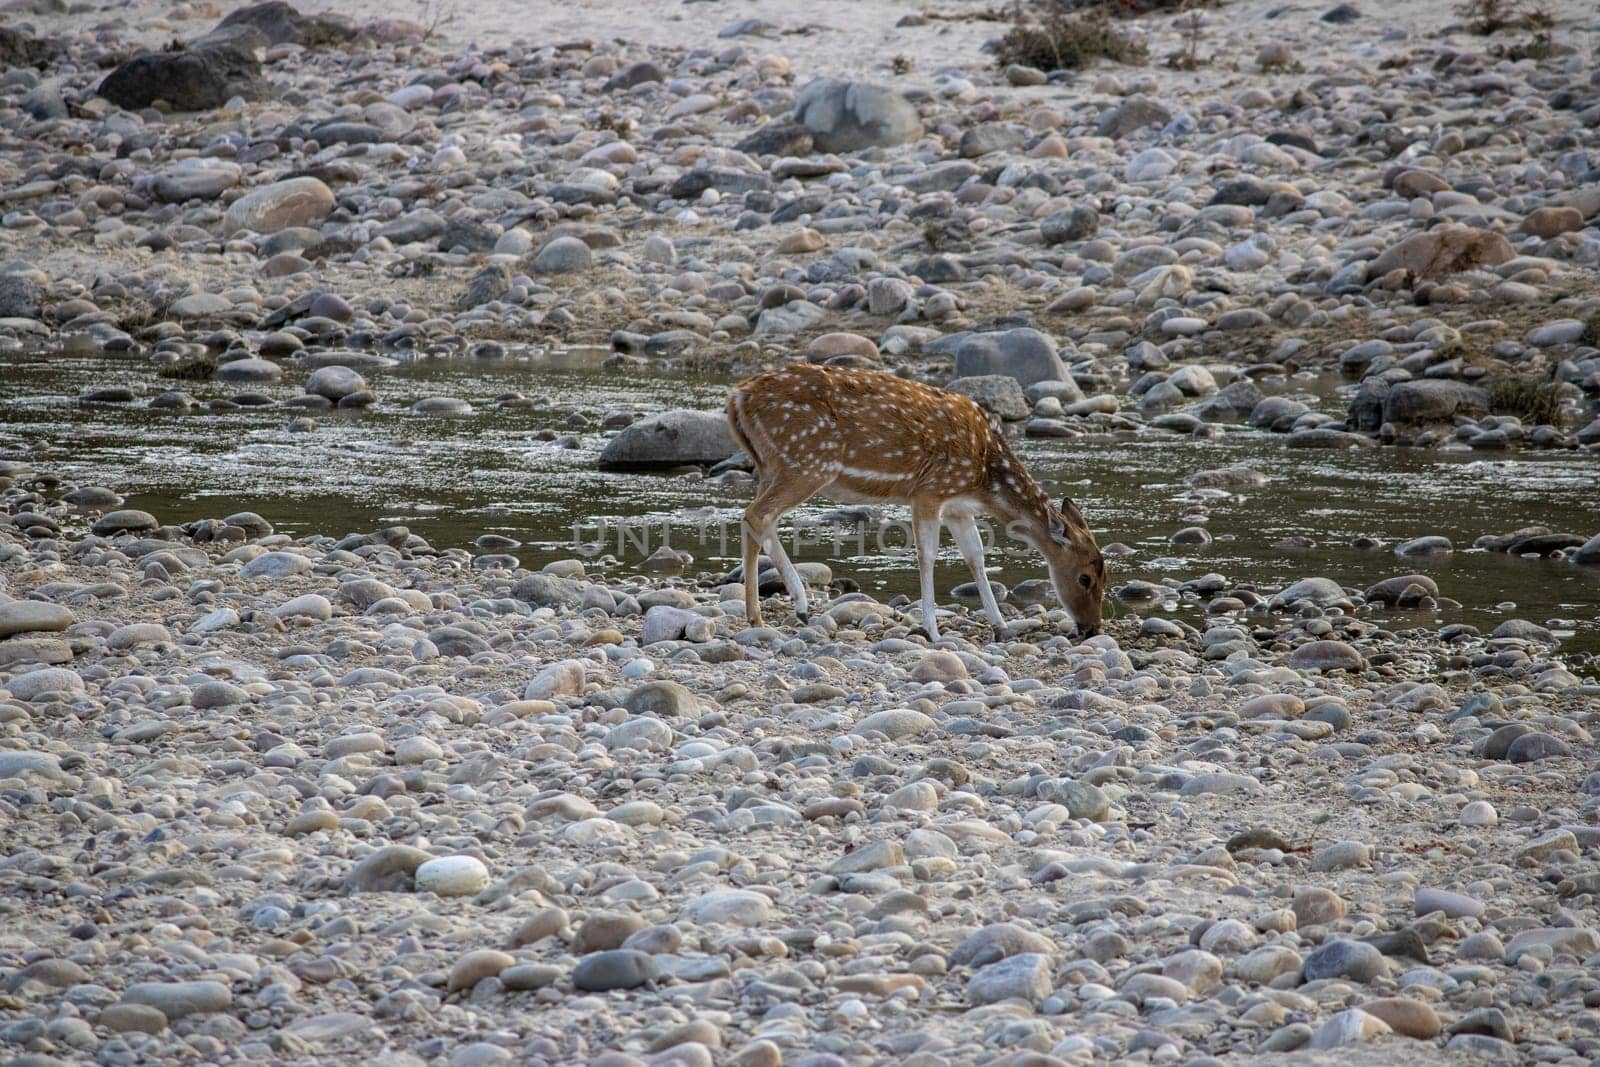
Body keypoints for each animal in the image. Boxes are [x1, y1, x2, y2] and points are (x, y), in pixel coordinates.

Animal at [732, 363, 1107, 639]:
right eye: (1085, 578)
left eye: (1106, 577)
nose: (1091, 629)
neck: (984, 478)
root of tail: (737, 396)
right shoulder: (930, 490)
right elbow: (928, 555)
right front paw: (932, 630)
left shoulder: (957, 507)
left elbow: (976, 556)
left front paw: (1000, 627)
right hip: (807, 461)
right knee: (757, 515)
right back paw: (773, 613)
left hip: (771, 465)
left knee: (757, 518)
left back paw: (780, 610)